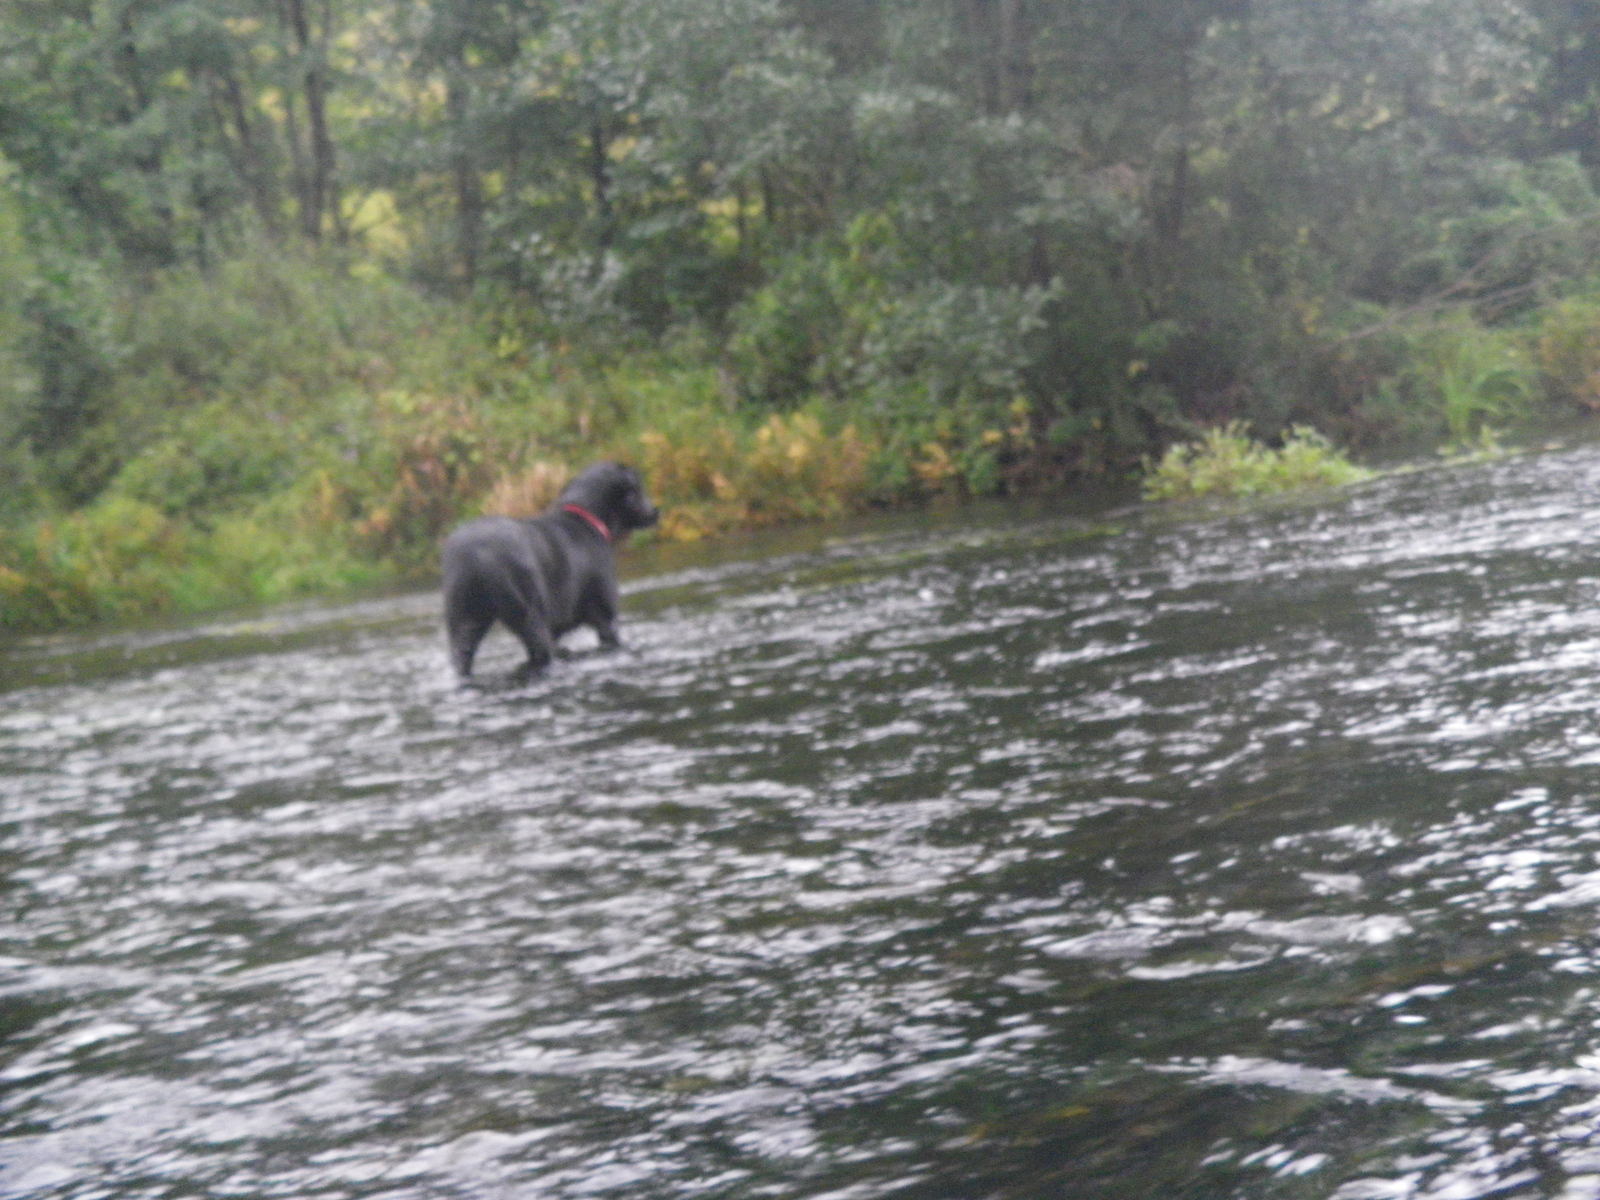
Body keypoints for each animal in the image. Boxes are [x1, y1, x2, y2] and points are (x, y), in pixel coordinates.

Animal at [441, 464, 659, 681]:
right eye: (638, 489)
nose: (657, 511)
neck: (585, 520)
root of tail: (476, 554)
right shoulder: (606, 617)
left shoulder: (557, 629)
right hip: (531, 618)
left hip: (463, 624)